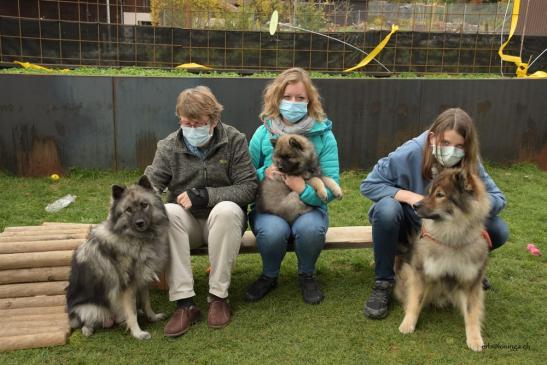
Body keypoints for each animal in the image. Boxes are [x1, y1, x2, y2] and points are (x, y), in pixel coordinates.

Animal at [67, 175, 169, 340]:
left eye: (144, 205)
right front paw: (138, 333)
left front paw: (152, 317)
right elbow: (131, 313)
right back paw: (88, 329)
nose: (140, 223)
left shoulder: (142, 279)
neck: (136, 239)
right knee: (85, 321)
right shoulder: (128, 287)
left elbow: (146, 302)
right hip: (92, 308)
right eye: (128, 210)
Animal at [394, 168, 492, 350]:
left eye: (440, 195)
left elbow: (472, 312)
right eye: (430, 192)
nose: (415, 205)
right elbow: (415, 301)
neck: (452, 238)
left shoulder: (472, 281)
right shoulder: (421, 273)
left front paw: (474, 338)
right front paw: (408, 324)